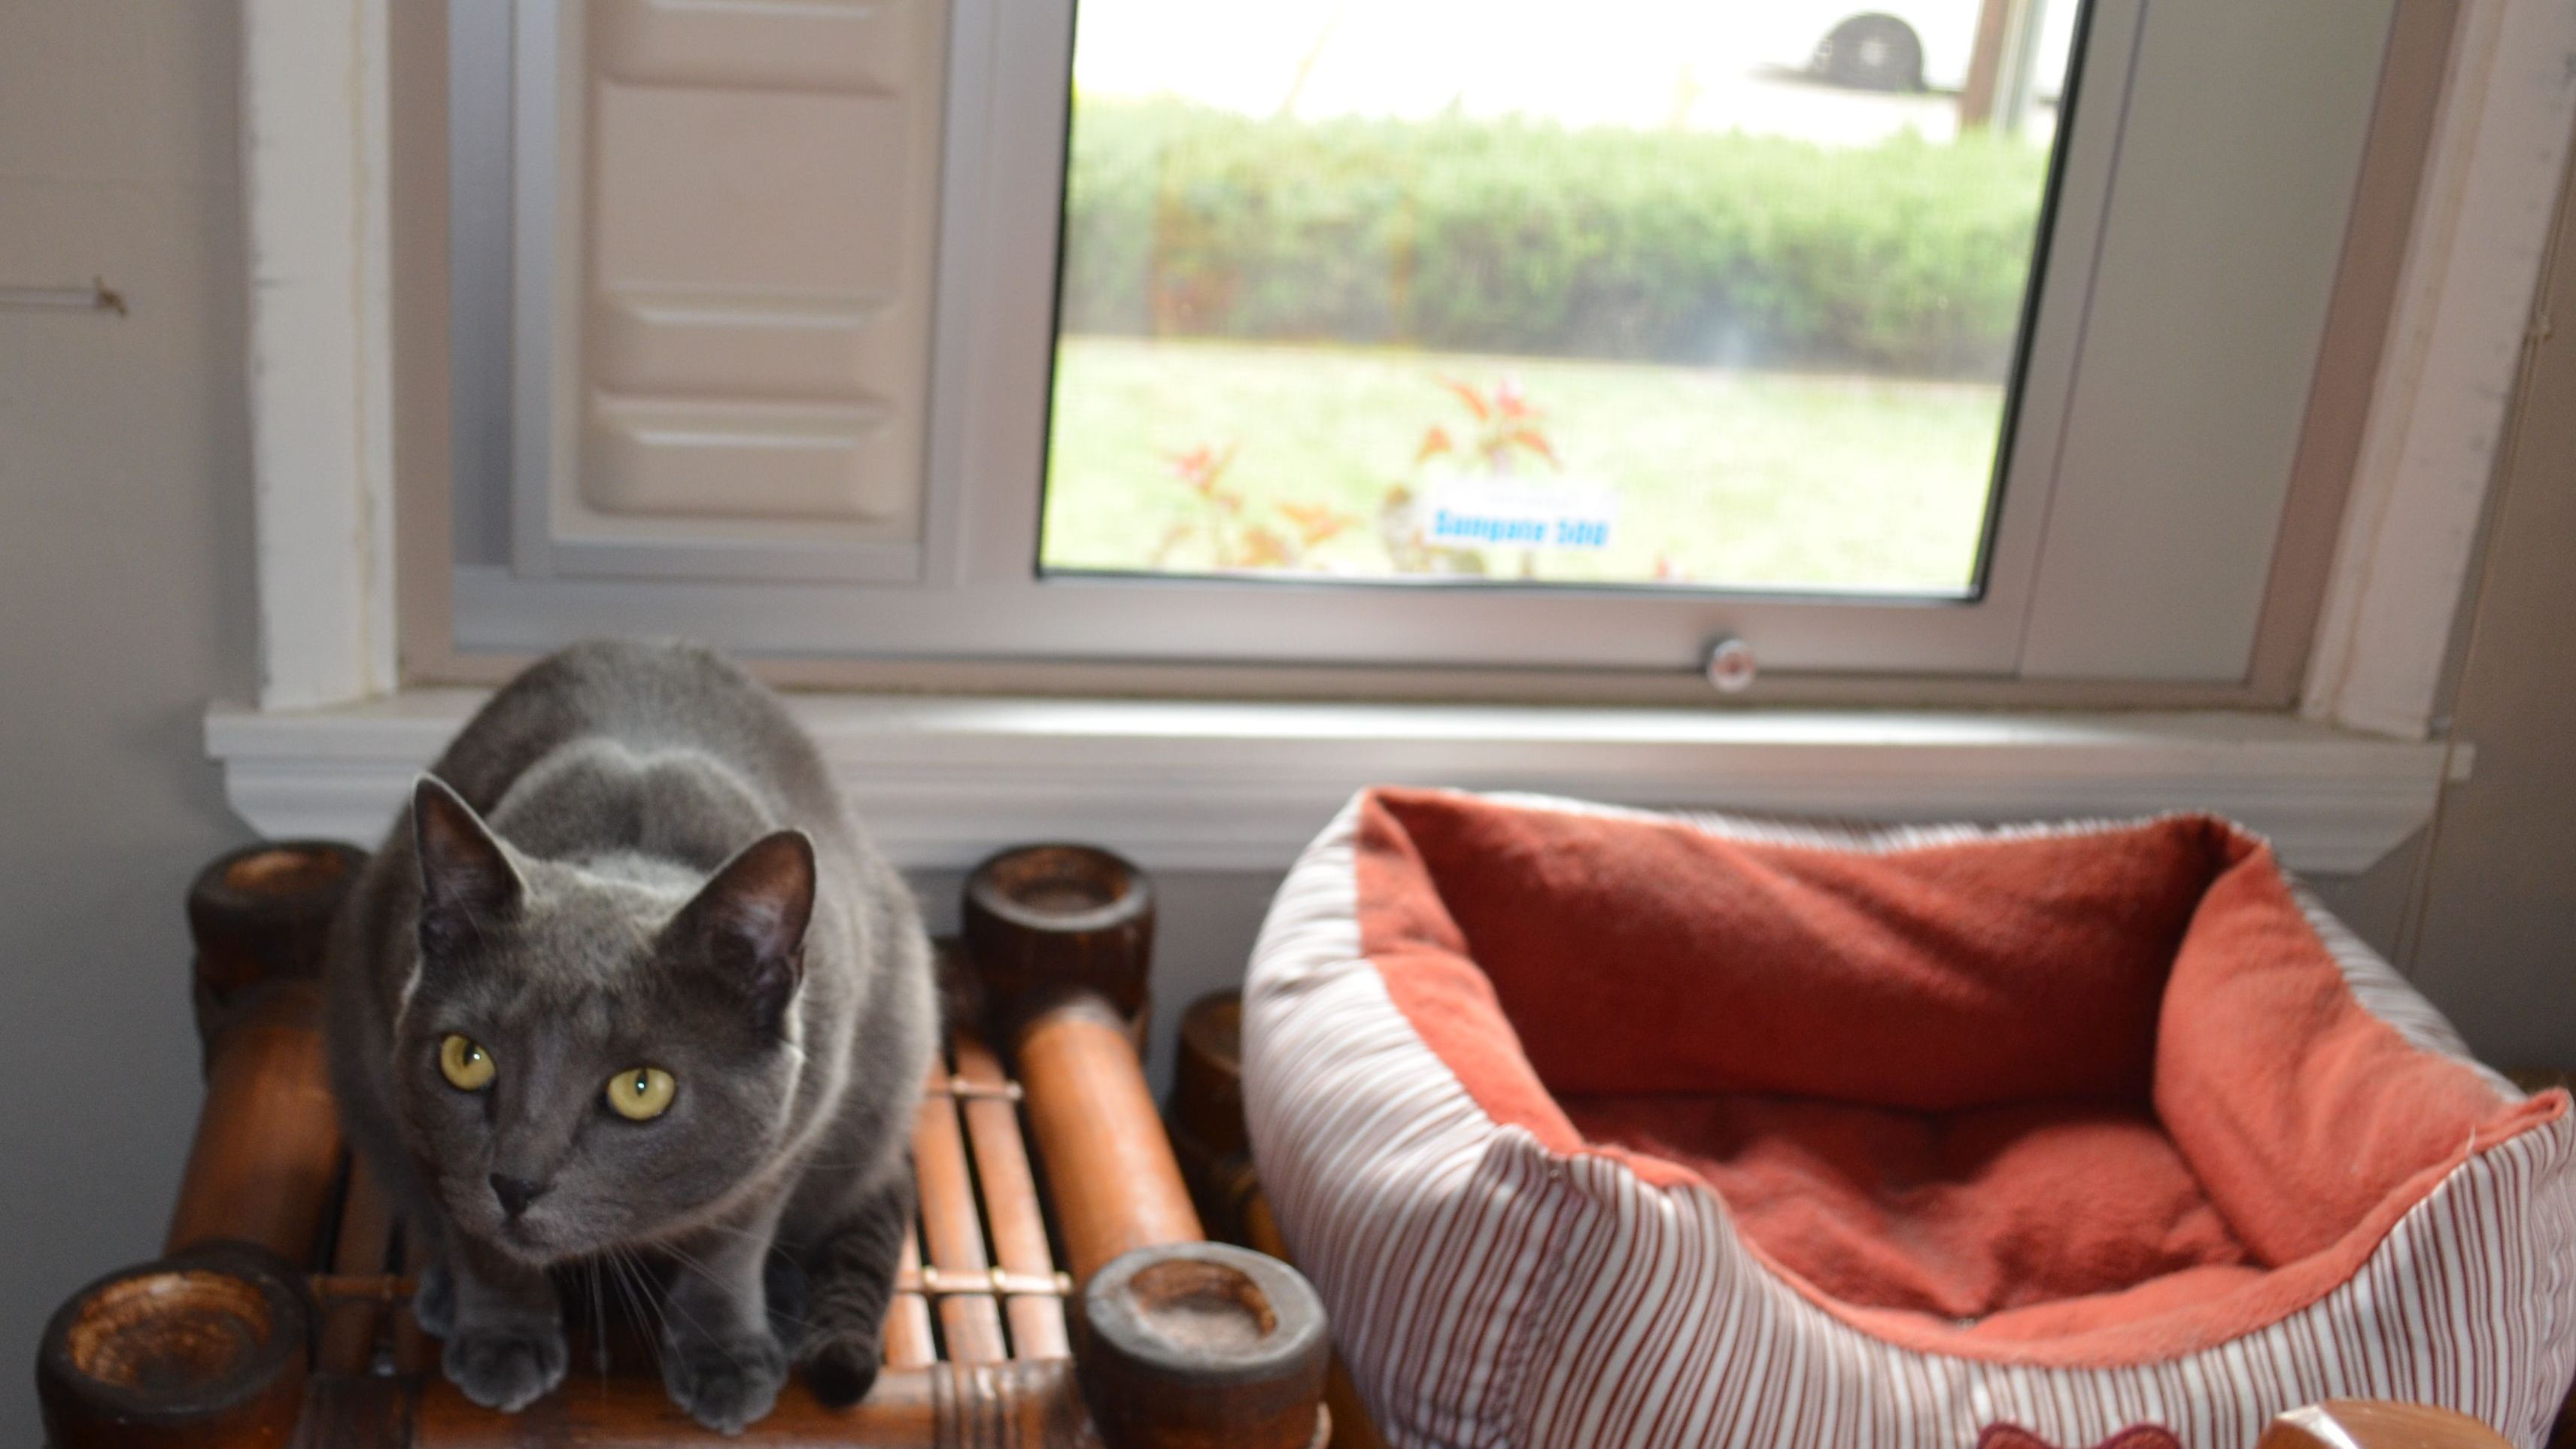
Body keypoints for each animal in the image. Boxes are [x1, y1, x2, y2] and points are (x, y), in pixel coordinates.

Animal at [322, 636, 943, 1423]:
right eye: (467, 1059)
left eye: (641, 1088)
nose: (515, 1183)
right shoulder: (411, 1105)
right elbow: (477, 1237)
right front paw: (503, 1338)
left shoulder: (799, 1124)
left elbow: (731, 1242)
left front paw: (723, 1357)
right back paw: (438, 1296)